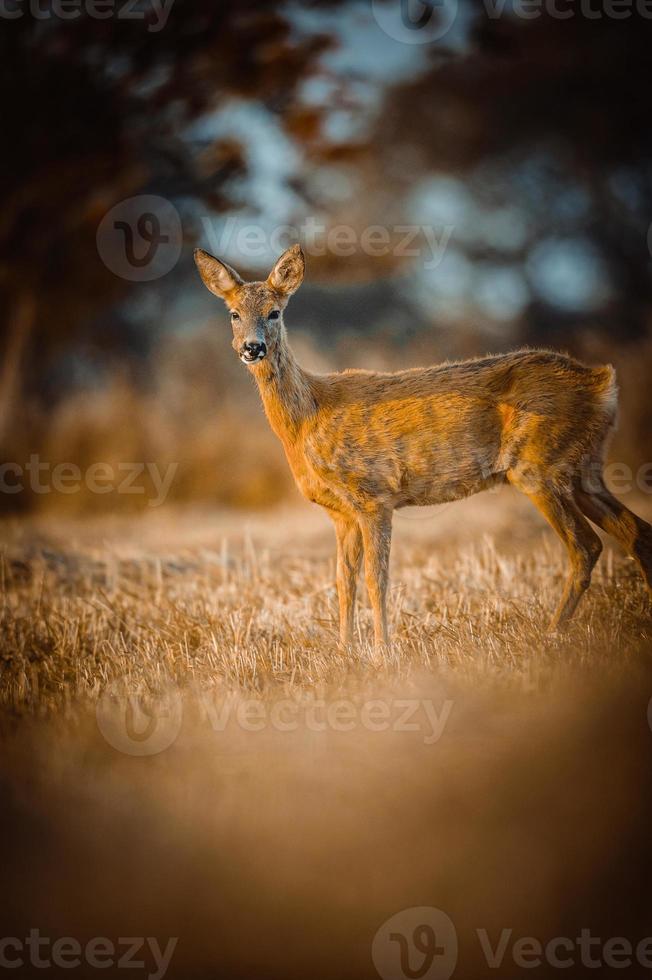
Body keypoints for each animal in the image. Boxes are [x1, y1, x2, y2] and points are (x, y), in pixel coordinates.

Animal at [194, 242, 652, 648]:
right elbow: (343, 583)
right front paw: (344, 654)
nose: (252, 347)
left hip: (537, 466)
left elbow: (377, 581)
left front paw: (383, 655)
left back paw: (551, 635)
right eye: (233, 314)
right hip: (583, 467)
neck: (308, 420)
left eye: (275, 312)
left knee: (585, 546)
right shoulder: (341, 513)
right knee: (636, 533)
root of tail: (602, 383)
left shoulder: (374, 495)